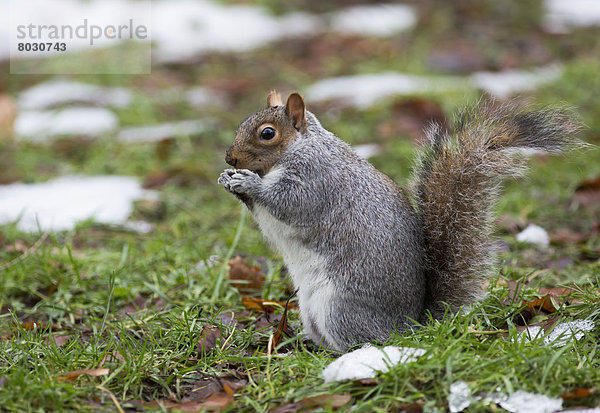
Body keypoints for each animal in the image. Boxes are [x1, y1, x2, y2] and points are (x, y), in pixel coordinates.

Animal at [218, 91, 580, 350]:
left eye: (267, 133)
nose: (230, 157)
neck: (301, 148)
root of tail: (410, 325)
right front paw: (228, 179)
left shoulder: (315, 181)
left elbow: (289, 203)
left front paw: (248, 183)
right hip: (310, 310)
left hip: (338, 307)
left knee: (364, 340)